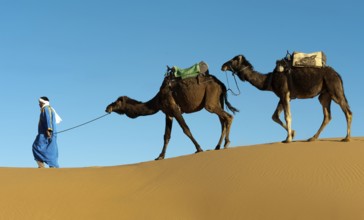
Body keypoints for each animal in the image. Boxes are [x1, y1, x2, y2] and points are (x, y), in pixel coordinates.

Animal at [104, 74, 239, 160]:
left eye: (116, 102)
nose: (107, 108)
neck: (157, 100)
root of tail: (221, 84)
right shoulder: (168, 114)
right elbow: (166, 136)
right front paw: (160, 156)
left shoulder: (174, 109)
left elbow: (186, 129)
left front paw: (199, 148)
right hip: (218, 100)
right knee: (222, 120)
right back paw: (218, 146)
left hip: (210, 100)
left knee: (228, 117)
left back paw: (226, 143)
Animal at [220, 55, 352, 143]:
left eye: (233, 60)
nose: (223, 66)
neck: (269, 80)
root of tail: (337, 75)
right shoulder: (282, 96)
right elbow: (274, 116)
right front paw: (292, 134)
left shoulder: (284, 94)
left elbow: (287, 116)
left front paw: (288, 139)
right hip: (324, 95)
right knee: (327, 116)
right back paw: (312, 138)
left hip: (335, 90)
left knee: (347, 111)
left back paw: (346, 138)